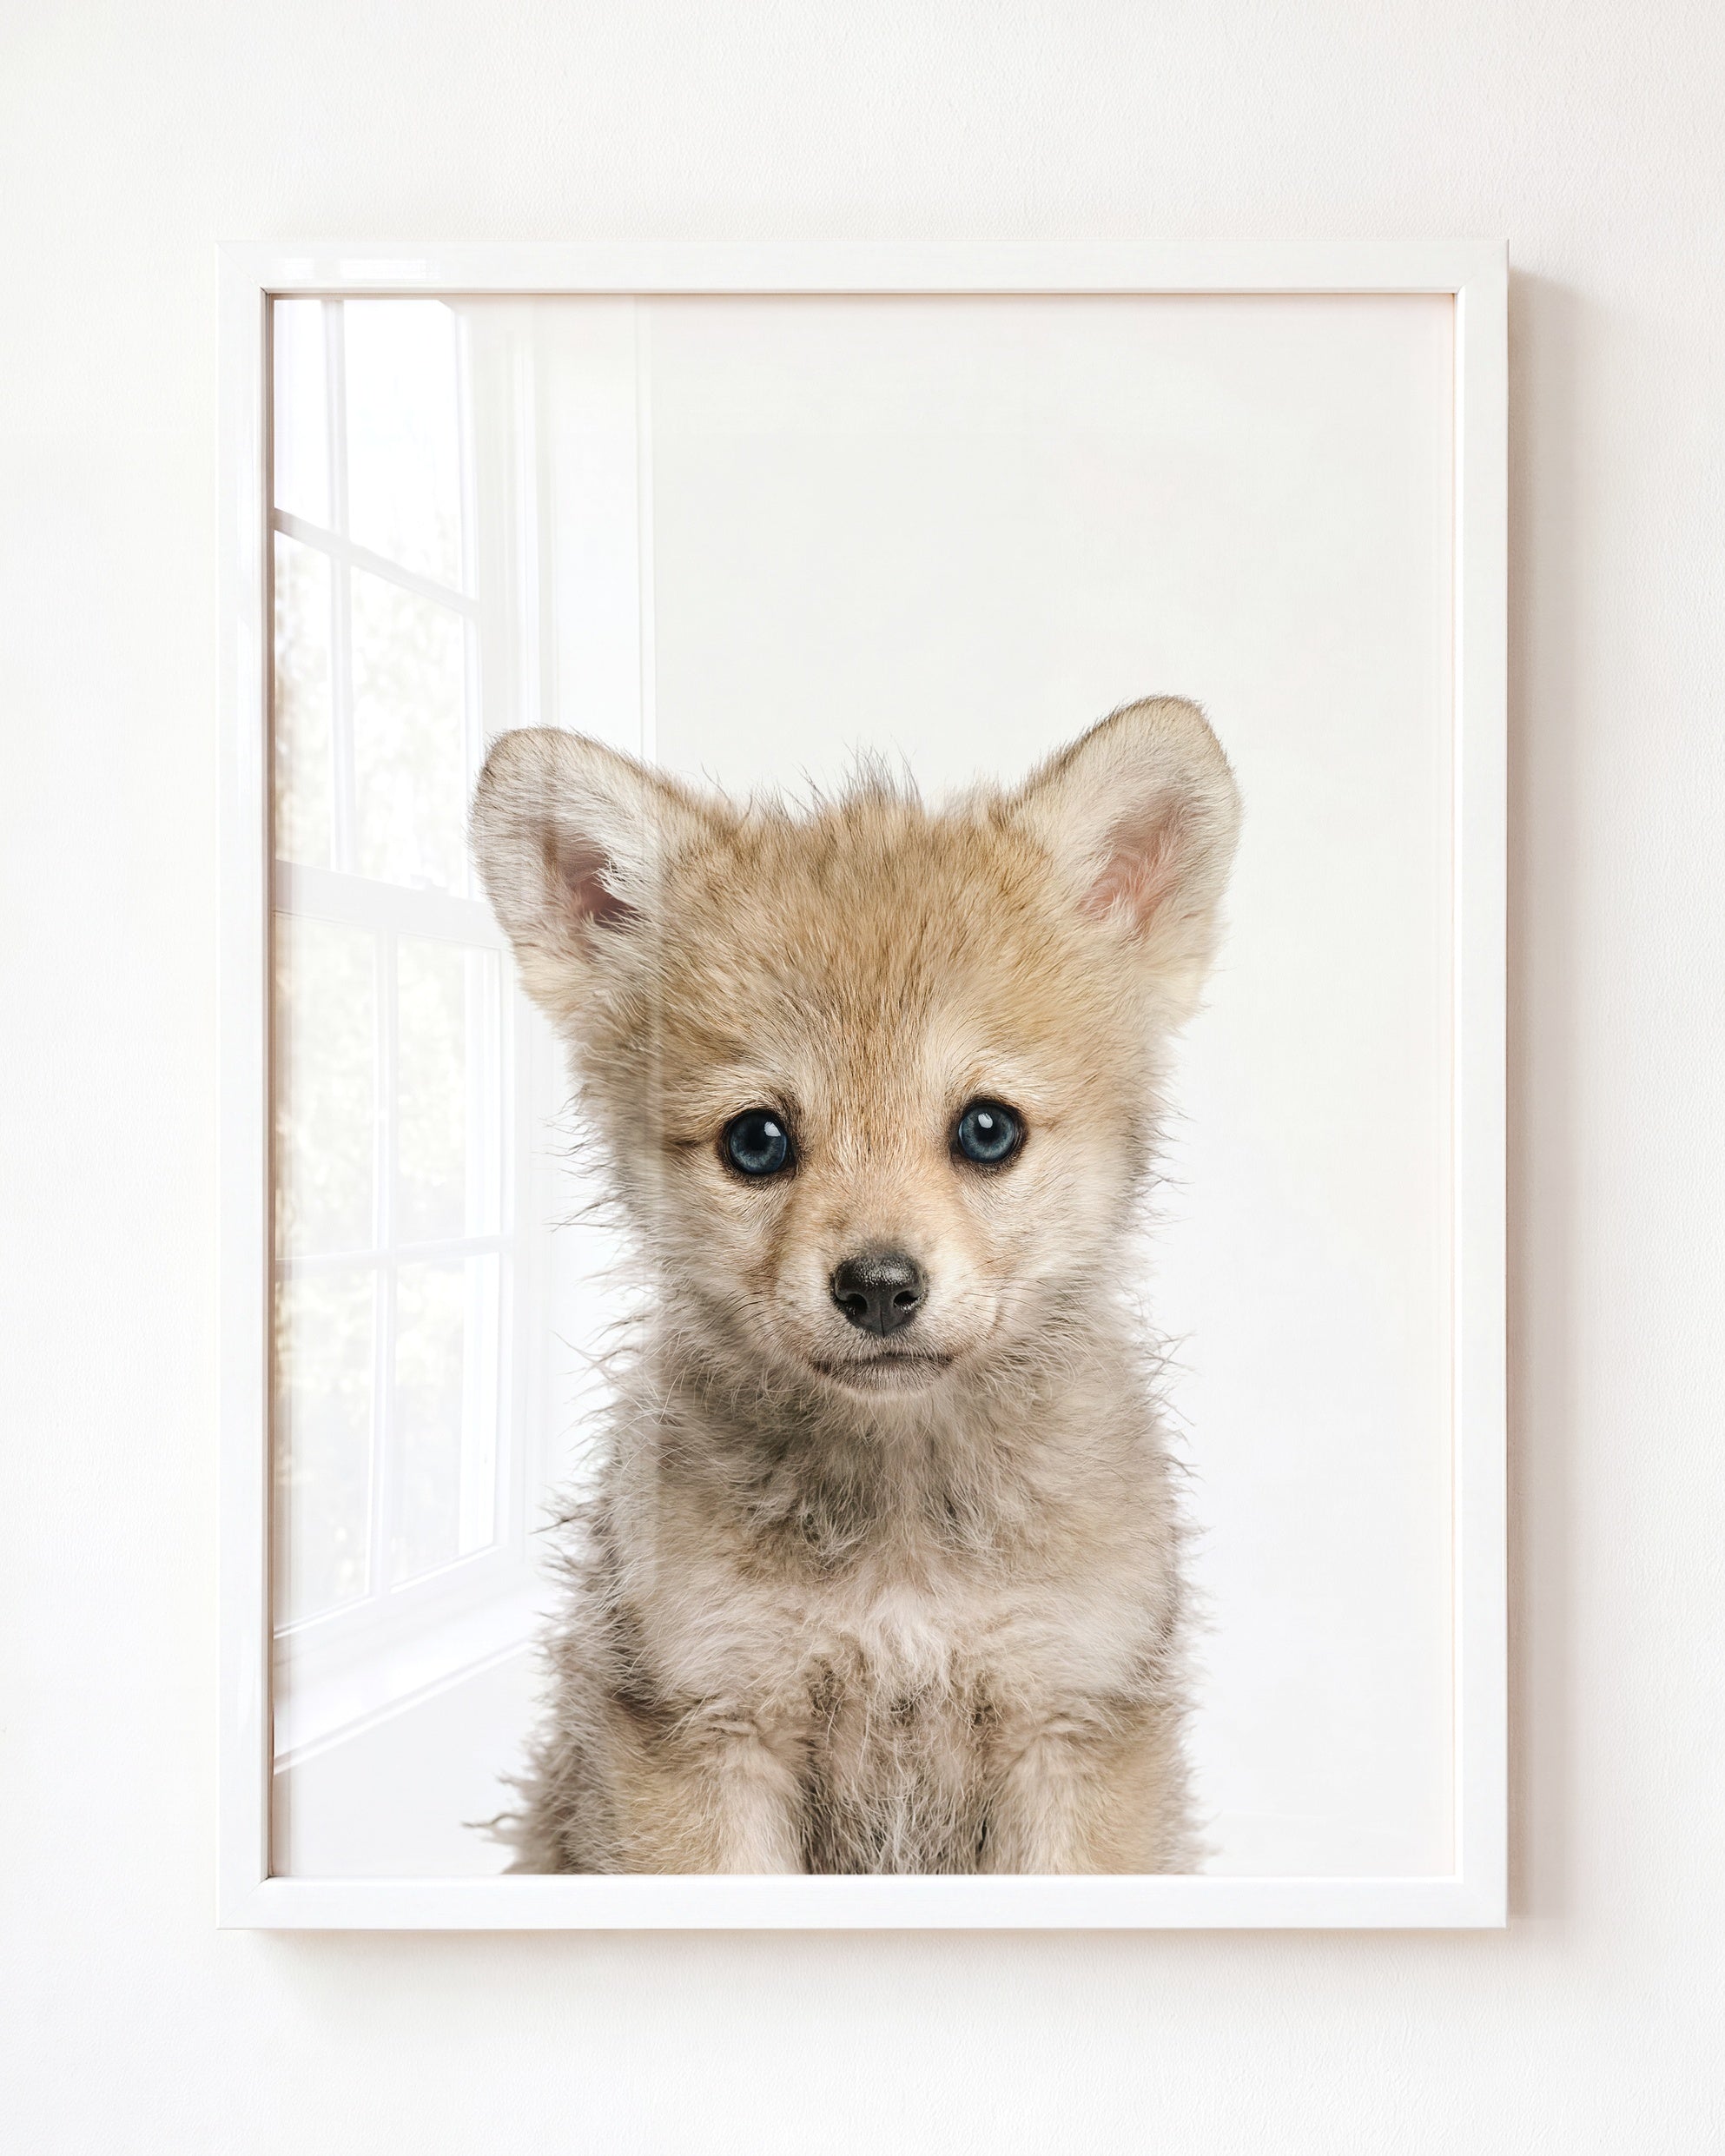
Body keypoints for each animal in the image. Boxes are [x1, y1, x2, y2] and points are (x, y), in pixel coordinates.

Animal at [470, 697, 1240, 1873]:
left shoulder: (1071, 1721)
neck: (902, 1539)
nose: (879, 1286)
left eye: (987, 1129)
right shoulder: (707, 1726)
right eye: (756, 1141)